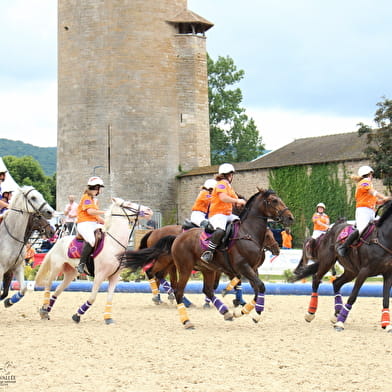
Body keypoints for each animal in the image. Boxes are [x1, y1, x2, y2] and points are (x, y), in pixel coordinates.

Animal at [122, 188, 294, 330]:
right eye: (274, 200)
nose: (290, 218)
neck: (248, 233)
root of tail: (177, 237)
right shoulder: (242, 267)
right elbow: (258, 286)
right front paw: (250, 311)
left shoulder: (251, 269)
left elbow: (258, 288)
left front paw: (246, 311)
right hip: (181, 266)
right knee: (171, 285)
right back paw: (185, 319)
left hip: (205, 269)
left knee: (206, 289)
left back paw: (225, 312)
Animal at [290, 201, 392, 332]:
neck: (383, 238)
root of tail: (330, 230)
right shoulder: (364, 272)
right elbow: (353, 296)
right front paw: (340, 323)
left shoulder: (388, 274)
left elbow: (386, 299)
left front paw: (387, 324)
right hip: (327, 262)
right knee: (316, 279)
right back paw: (311, 313)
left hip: (351, 270)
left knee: (336, 283)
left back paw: (337, 313)